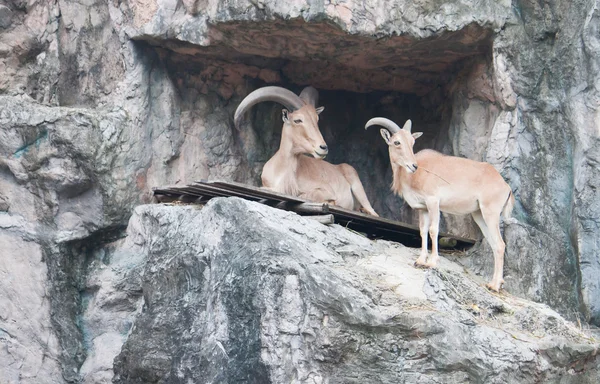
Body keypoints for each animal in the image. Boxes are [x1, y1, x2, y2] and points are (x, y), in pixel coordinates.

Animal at [237, 85, 378, 216]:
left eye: (316, 119)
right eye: (298, 120)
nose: (323, 147)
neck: (283, 171)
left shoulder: (324, 190)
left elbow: (310, 195)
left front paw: (332, 202)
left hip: (357, 186)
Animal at [366, 118, 516, 292]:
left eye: (412, 142)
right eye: (397, 142)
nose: (413, 166)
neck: (414, 175)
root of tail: (506, 187)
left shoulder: (433, 202)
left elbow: (433, 230)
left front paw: (432, 262)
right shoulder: (423, 208)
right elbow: (423, 231)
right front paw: (420, 260)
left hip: (490, 212)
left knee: (500, 244)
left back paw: (495, 286)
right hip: (479, 214)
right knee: (494, 244)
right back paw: (493, 283)